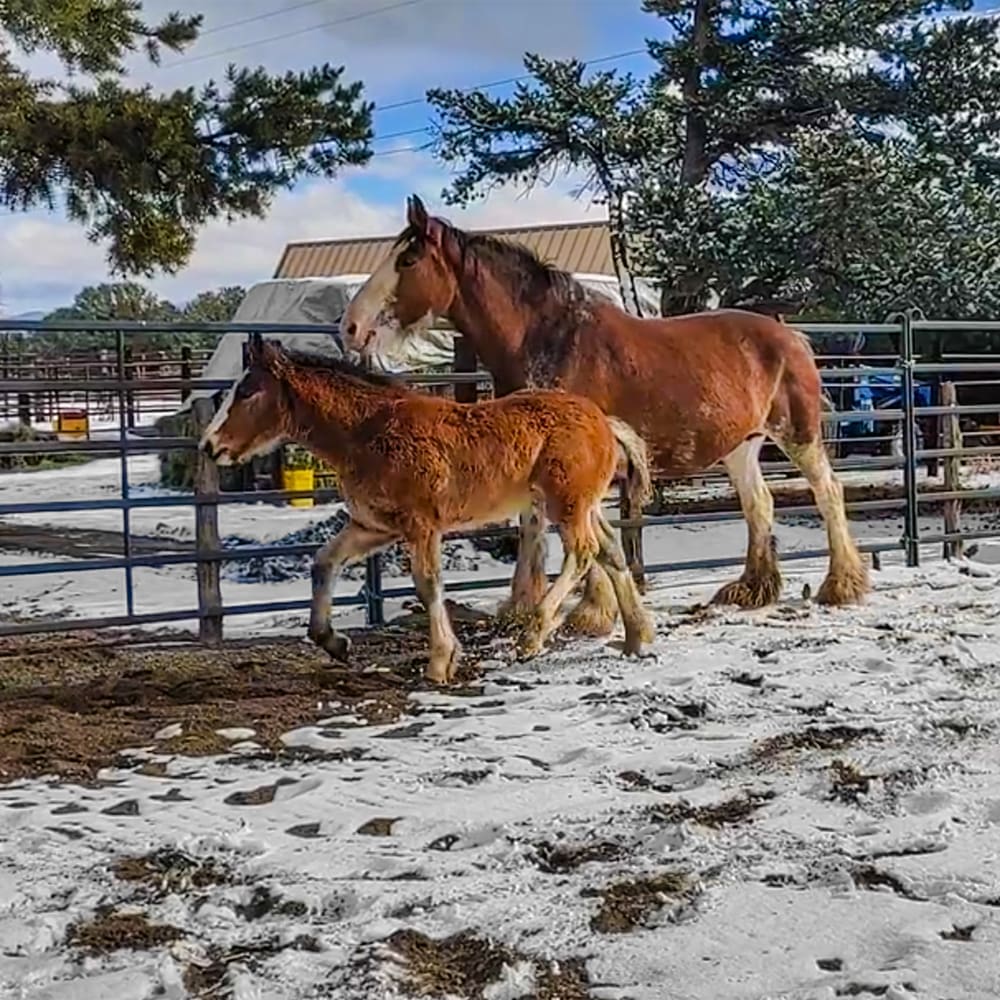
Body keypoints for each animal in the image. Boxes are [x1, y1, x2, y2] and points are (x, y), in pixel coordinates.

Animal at [200, 332, 656, 684]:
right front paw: (334, 643)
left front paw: (440, 663)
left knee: (583, 552)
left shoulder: (420, 526)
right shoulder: (373, 526)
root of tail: (604, 422)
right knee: (610, 550)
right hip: (580, 505)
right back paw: (637, 636)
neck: (367, 431)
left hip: (567, 504)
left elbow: (427, 583)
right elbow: (323, 562)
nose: (208, 445)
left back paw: (532, 635)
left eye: (248, 392)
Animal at [342, 195, 868, 632]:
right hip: (742, 445)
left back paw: (841, 585)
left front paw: (591, 614)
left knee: (828, 493)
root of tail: (791, 335)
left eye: (408, 260)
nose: (351, 327)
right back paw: (753, 589)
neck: (554, 342)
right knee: (759, 503)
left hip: (797, 434)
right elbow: (533, 527)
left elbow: (585, 535)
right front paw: (522, 607)